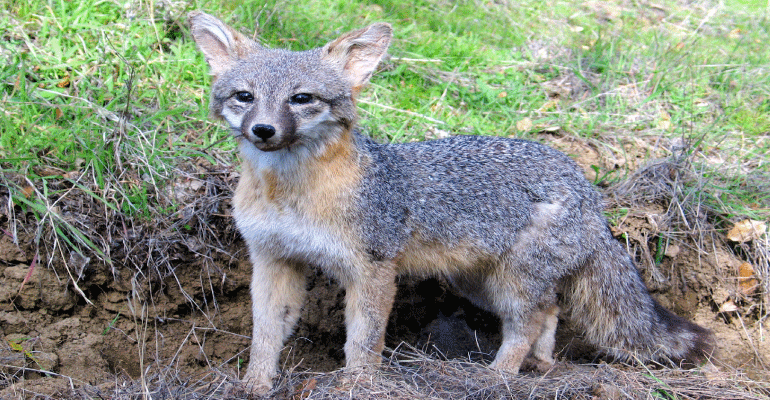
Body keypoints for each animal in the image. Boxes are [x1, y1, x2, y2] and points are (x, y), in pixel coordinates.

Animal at [188, 11, 714, 394]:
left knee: (527, 322)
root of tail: (584, 183)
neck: (290, 194)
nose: (264, 130)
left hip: (510, 284)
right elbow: (265, 335)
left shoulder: (373, 270)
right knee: (550, 311)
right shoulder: (273, 260)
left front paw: (357, 386)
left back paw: (498, 376)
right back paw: (540, 364)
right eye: (244, 97)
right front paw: (255, 385)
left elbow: (363, 342)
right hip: (479, 283)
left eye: (301, 99)